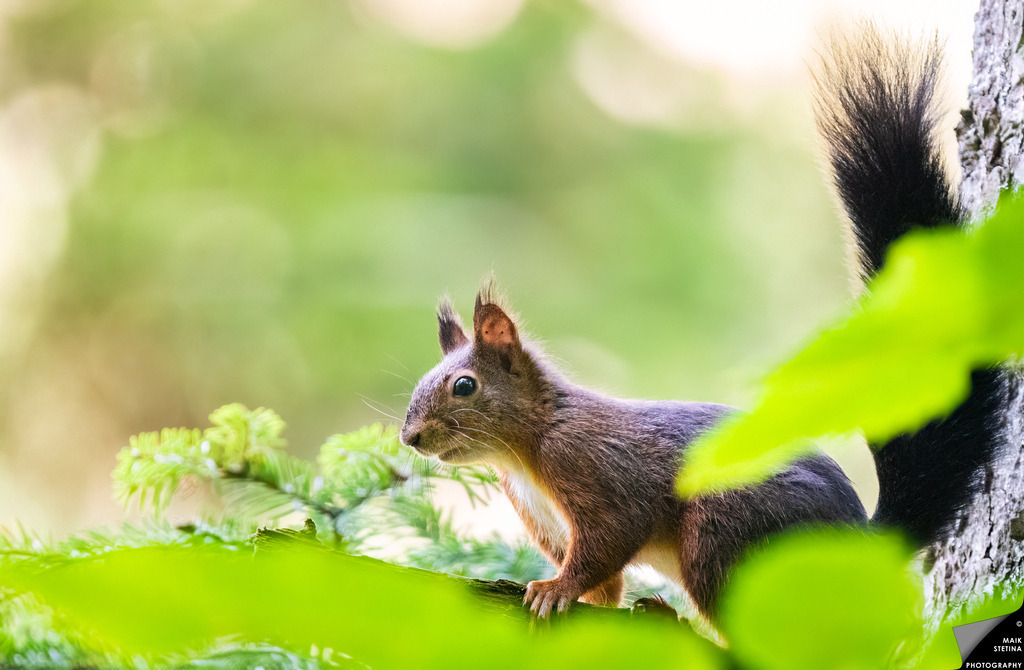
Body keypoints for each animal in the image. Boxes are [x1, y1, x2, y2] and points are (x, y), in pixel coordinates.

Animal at [399, 24, 1002, 622]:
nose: (410, 437)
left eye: (464, 386)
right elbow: (606, 586)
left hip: (725, 537)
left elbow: (610, 539)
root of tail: (856, 546)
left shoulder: (598, 470)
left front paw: (554, 588)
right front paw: (577, 594)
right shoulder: (543, 517)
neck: (527, 445)